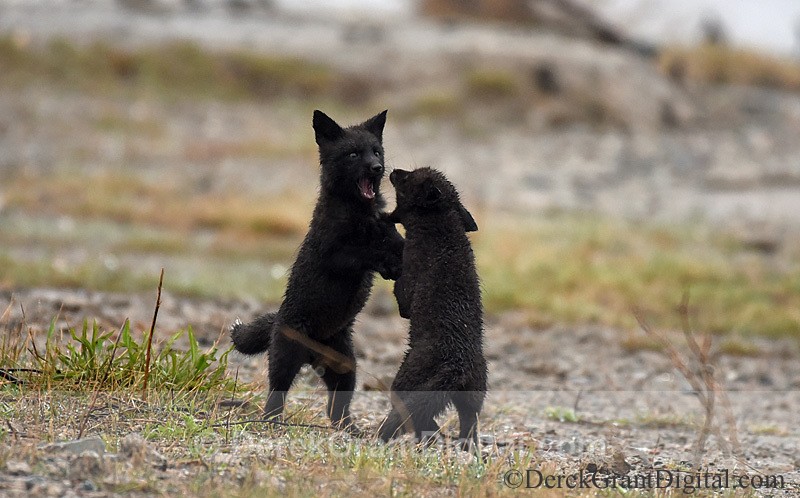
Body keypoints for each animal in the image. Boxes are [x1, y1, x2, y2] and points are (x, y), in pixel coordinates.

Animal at [231, 110, 404, 434]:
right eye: (353, 154)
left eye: (376, 151)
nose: (377, 168)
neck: (358, 212)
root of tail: (314, 355)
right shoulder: (333, 253)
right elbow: (364, 253)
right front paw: (385, 263)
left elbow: (391, 242)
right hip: (285, 358)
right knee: (276, 394)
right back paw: (272, 421)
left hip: (346, 367)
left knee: (336, 408)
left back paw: (350, 429)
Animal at [378, 167, 486, 450]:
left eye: (407, 178)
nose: (395, 170)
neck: (443, 237)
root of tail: (457, 366)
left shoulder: (411, 276)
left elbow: (403, 297)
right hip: (476, 389)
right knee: (468, 420)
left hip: (408, 374)